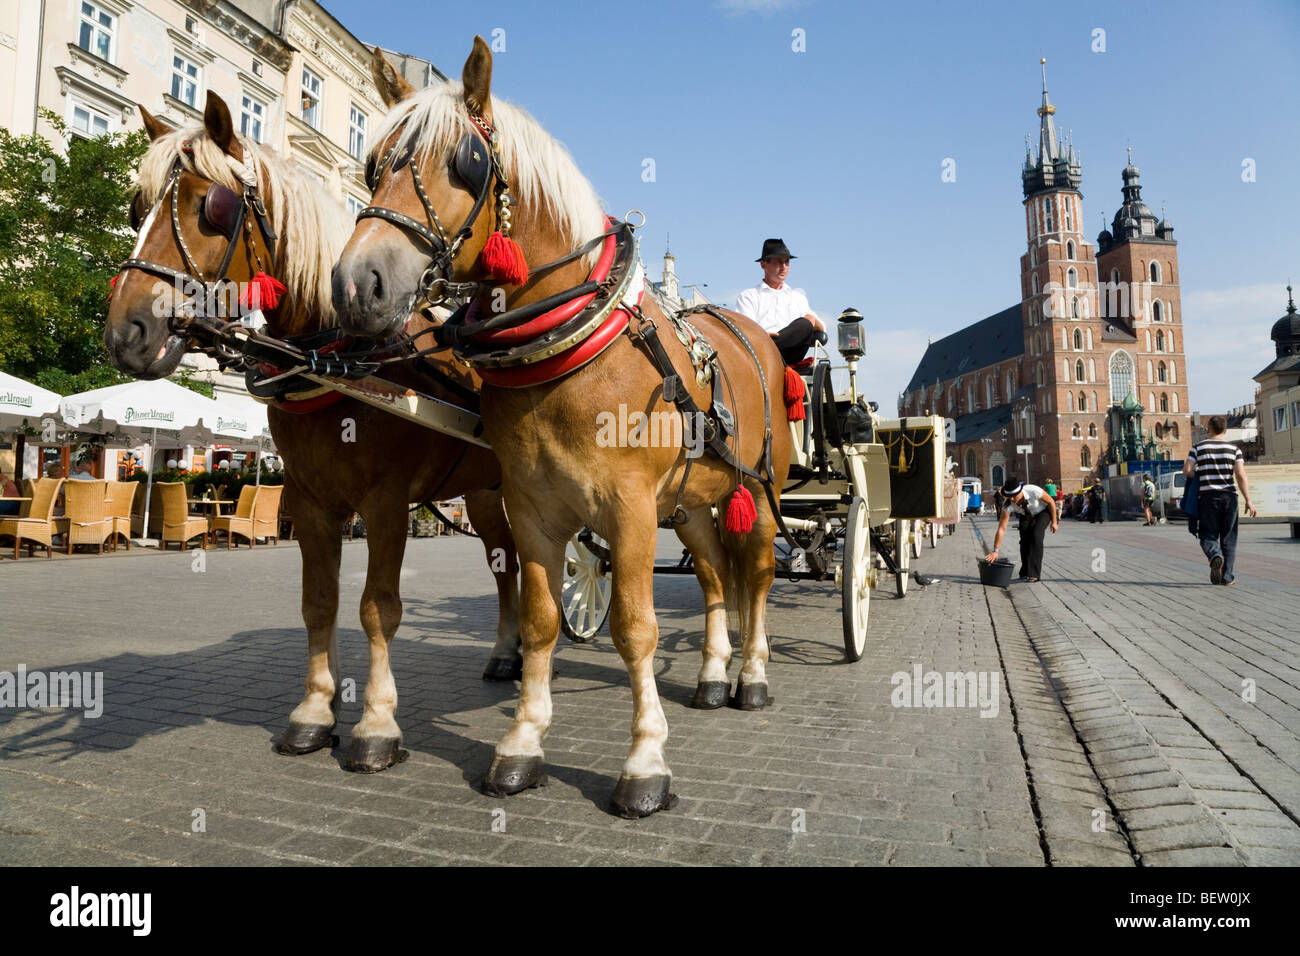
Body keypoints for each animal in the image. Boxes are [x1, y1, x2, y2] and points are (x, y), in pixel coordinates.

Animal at [105, 91, 522, 780]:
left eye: (211, 207)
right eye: (138, 208)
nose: (125, 331)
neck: (337, 356)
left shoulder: (385, 504)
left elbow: (378, 609)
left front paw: (376, 726)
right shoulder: (310, 501)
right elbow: (319, 602)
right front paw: (314, 714)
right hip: (487, 492)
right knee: (506, 564)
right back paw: (508, 653)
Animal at [332, 39, 790, 816]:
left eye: (465, 163)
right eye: (373, 163)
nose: (357, 284)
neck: (569, 346)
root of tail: (752, 333)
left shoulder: (630, 509)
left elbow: (636, 629)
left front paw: (644, 764)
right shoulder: (531, 507)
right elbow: (543, 618)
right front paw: (522, 744)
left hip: (756, 490)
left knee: (754, 577)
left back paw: (752, 677)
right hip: (691, 504)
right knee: (713, 580)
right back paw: (711, 675)